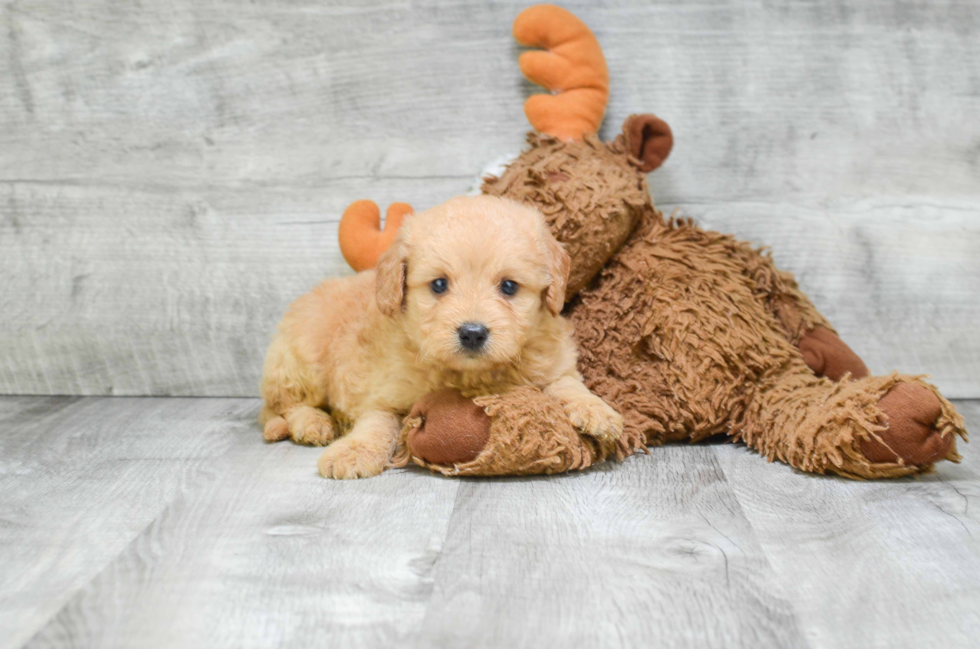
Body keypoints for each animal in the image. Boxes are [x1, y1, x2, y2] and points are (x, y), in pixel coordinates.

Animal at [260, 192, 624, 476]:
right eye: (438, 284)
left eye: (509, 286)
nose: (473, 333)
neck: (470, 375)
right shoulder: (383, 390)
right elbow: (377, 422)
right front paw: (354, 451)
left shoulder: (553, 359)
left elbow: (567, 383)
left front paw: (598, 411)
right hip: (299, 362)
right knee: (286, 405)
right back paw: (313, 424)